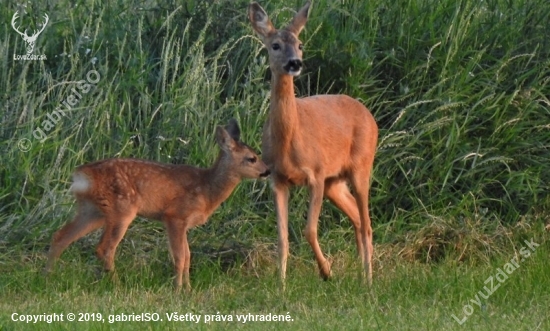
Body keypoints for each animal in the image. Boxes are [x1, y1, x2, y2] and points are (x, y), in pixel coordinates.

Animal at [45, 119, 272, 290]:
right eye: (252, 158)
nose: (267, 171)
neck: (206, 190)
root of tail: (82, 175)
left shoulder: (182, 223)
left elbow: (188, 256)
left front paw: (188, 289)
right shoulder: (174, 216)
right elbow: (180, 257)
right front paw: (178, 289)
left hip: (92, 211)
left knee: (60, 236)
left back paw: (48, 275)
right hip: (122, 209)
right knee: (104, 248)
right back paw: (117, 285)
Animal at [250, 0, 380, 286]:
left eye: (300, 44)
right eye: (275, 45)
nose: (295, 63)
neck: (289, 139)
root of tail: (369, 115)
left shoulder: (317, 174)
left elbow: (309, 230)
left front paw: (326, 271)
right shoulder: (277, 179)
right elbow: (282, 237)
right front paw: (281, 285)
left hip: (361, 166)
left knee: (366, 223)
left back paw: (368, 281)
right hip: (335, 182)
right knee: (357, 217)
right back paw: (360, 273)